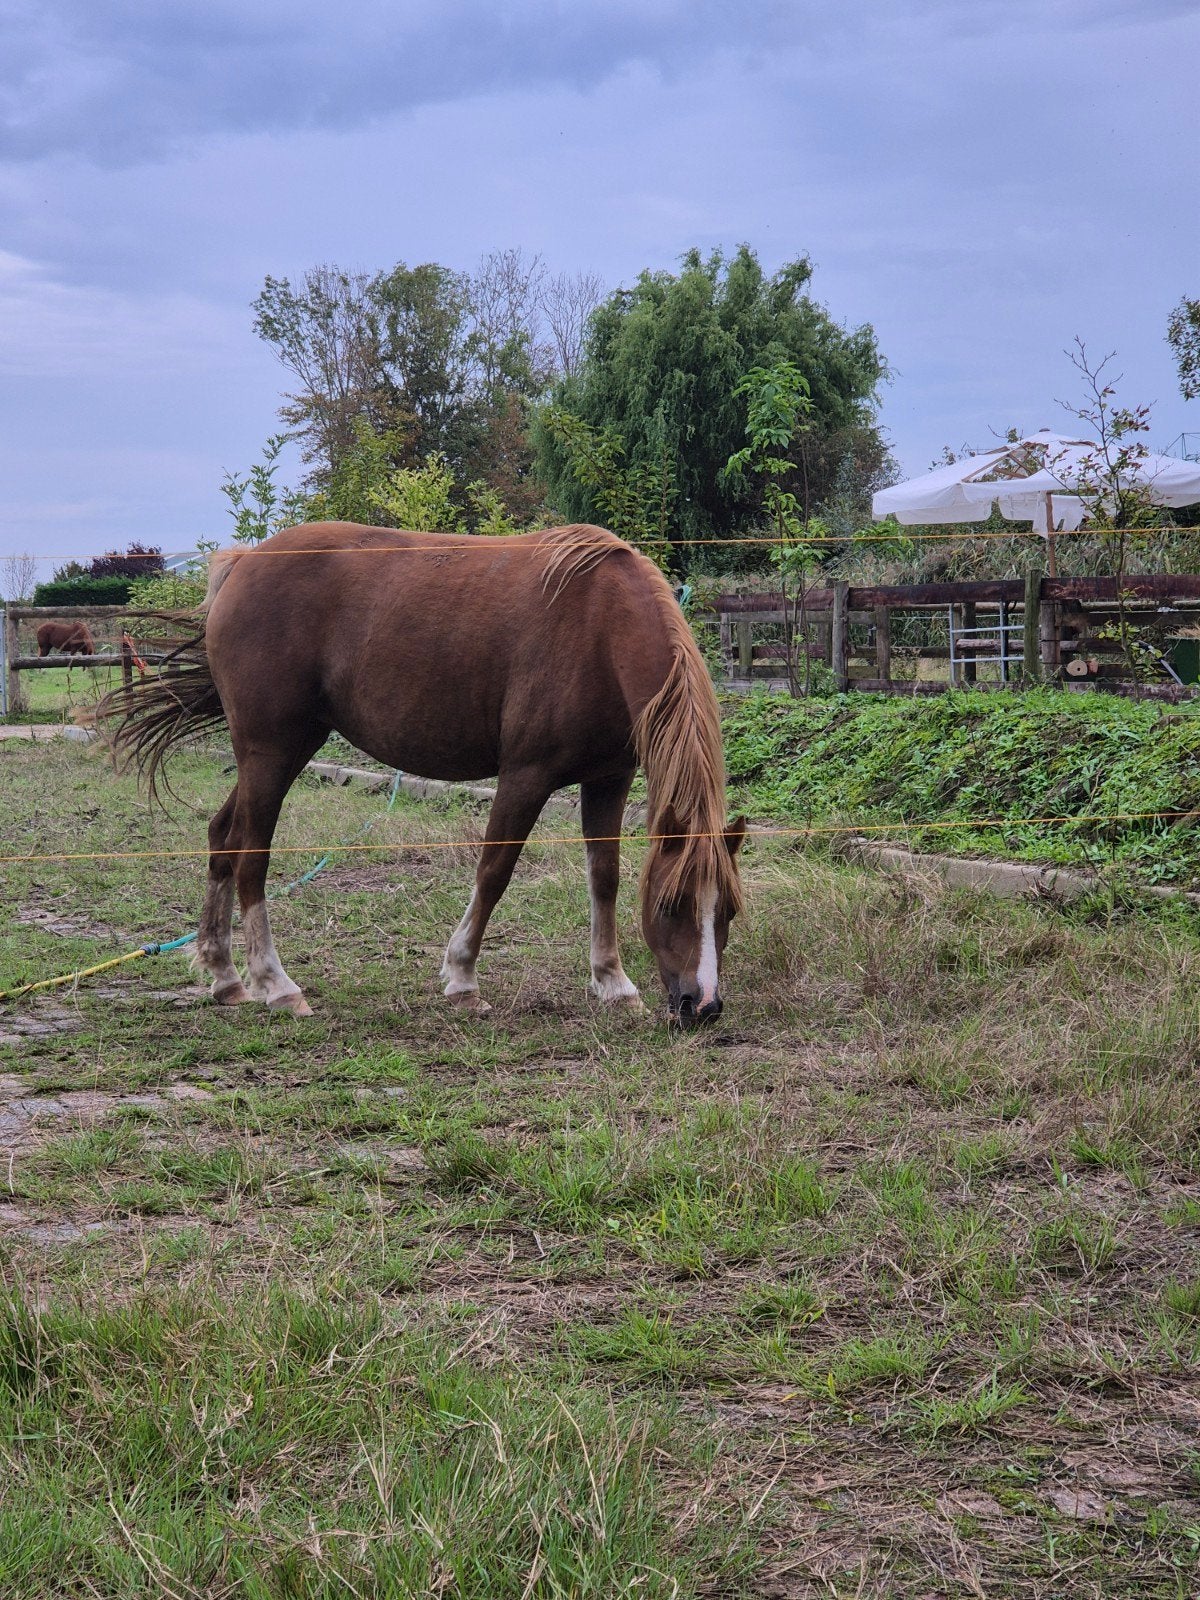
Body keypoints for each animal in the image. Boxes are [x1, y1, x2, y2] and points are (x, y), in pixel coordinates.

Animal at [97, 522, 746, 1025]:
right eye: (672, 903)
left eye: (728, 911)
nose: (703, 1005)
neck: (601, 627)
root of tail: (242, 565)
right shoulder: (525, 776)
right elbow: (495, 870)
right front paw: (462, 977)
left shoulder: (608, 778)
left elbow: (603, 877)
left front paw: (612, 983)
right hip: (272, 753)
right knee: (251, 855)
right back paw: (275, 984)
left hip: (276, 753)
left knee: (223, 837)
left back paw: (224, 973)